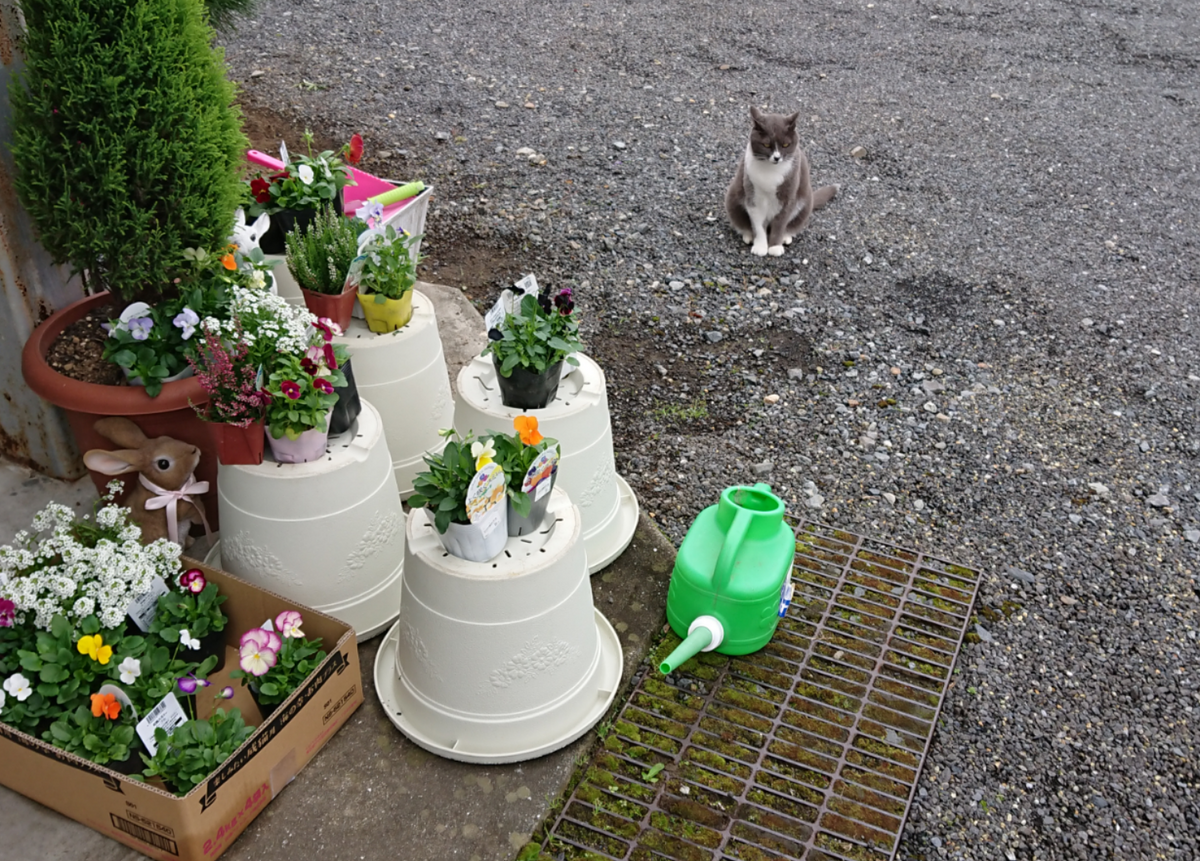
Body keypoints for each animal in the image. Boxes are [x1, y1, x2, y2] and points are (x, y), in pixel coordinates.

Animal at [724, 107, 840, 256]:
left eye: (786, 144)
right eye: (766, 144)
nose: (777, 157)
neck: (770, 171)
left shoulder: (788, 196)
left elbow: (780, 224)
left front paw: (775, 247)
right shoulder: (753, 195)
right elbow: (757, 224)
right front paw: (760, 247)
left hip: (806, 201)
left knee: (792, 224)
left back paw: (786, 237)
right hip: (733, 197)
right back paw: (748, 236)